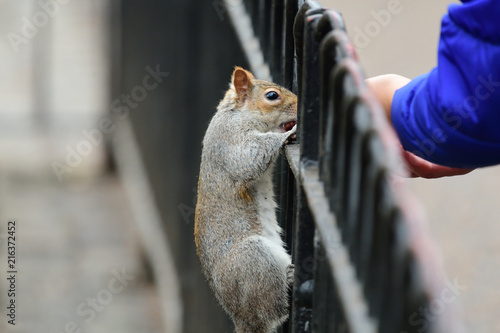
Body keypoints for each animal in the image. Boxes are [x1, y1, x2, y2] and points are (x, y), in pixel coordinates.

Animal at [195, 66, 296, 330]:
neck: (235, 113)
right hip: (254, 259)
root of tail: (242, 318)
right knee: (274, 310)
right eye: (272, 96)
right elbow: (250, 158)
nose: (298, 107)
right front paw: (291, 131)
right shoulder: (232, 141)